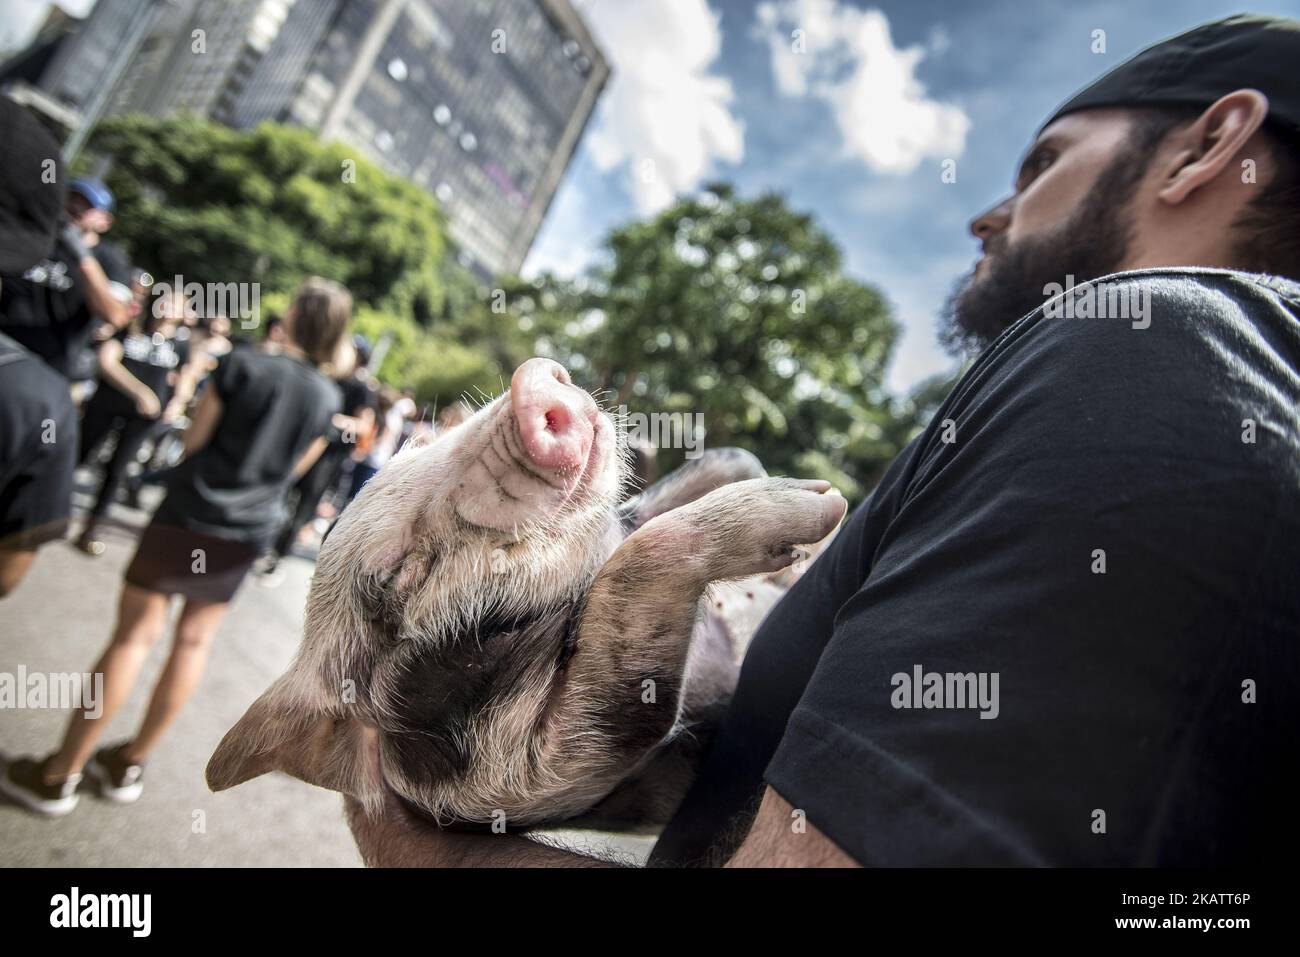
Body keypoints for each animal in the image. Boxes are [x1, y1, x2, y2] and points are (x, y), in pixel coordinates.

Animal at [205, 356, 842, 832]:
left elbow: (684, 486)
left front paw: (811, 494)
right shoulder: (526, 781)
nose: (531, 381)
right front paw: (820, 507)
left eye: (417, 444)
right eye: (398, 576)